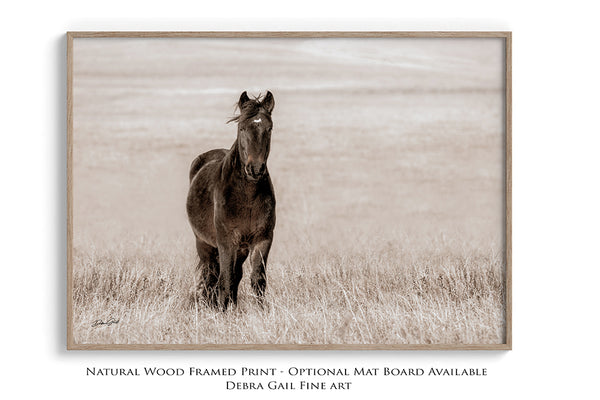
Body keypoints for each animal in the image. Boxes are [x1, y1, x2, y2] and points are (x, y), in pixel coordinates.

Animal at [186, 91, 276, 310]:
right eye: (242, 128)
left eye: (269, 128)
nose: (255, 169)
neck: (247, 197)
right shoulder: (227, 241)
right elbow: (225, 279)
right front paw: (223, 311)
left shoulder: (263, 240)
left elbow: (257, 279)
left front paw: (260, 311)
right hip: (204, 243)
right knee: (211, 274)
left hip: (241, 249)